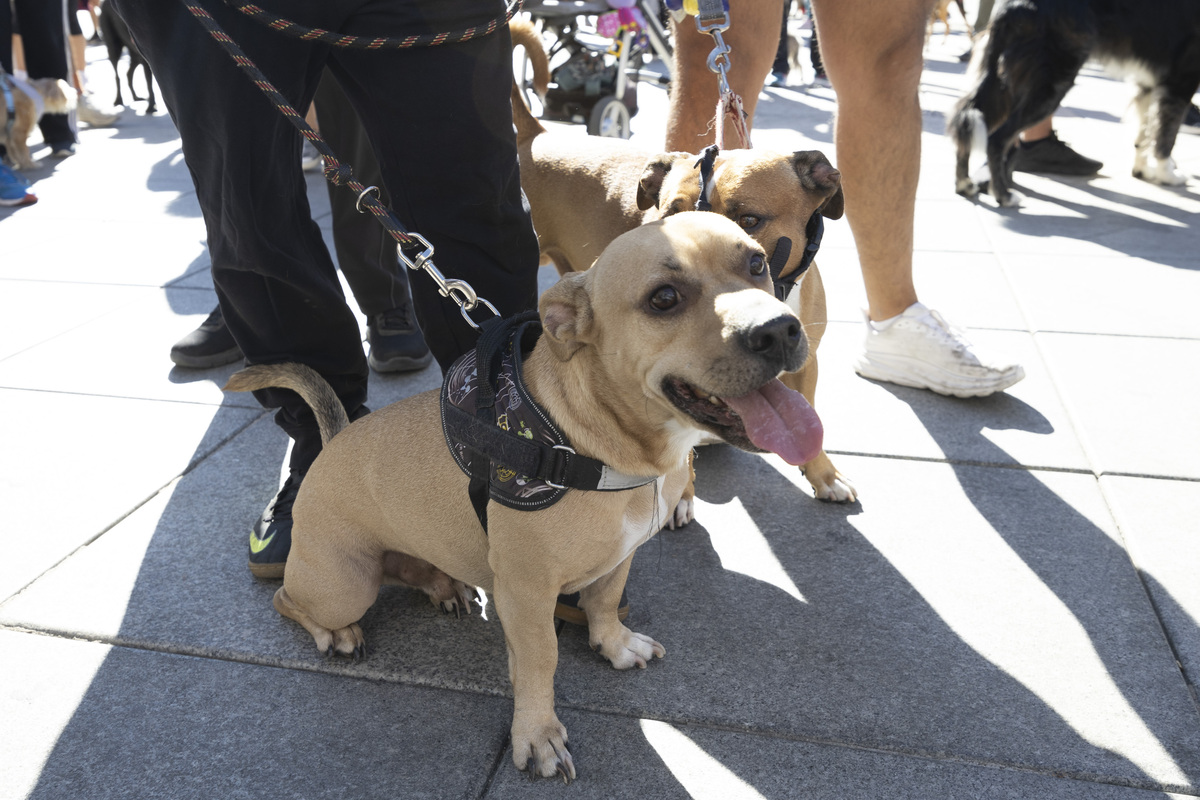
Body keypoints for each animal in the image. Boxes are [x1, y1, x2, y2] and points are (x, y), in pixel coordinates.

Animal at [225, 212, 825, 782]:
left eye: (756, 263)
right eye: (664, 298)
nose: (779, 329)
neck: (604, 443)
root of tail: (333, 440)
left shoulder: (621, 555)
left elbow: (604, 599)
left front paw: (613, 644)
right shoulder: (526, 592)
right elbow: (540, 661)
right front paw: (537, 737)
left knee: (408, 569)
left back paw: (442, 585)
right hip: (342, 585)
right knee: (290, 600)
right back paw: (338, 633)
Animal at [945, 0, 1200, 206]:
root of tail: (1015, 5)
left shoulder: (1148, 83)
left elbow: (1145, 135)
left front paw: (1143, 170)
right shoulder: (1181, 81)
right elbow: (1166, 137)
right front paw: (1168, 174)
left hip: (1003, 86)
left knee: (965, 120)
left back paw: (964, 184)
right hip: (1051, 84)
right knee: (998, 139)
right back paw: (1004, 196)